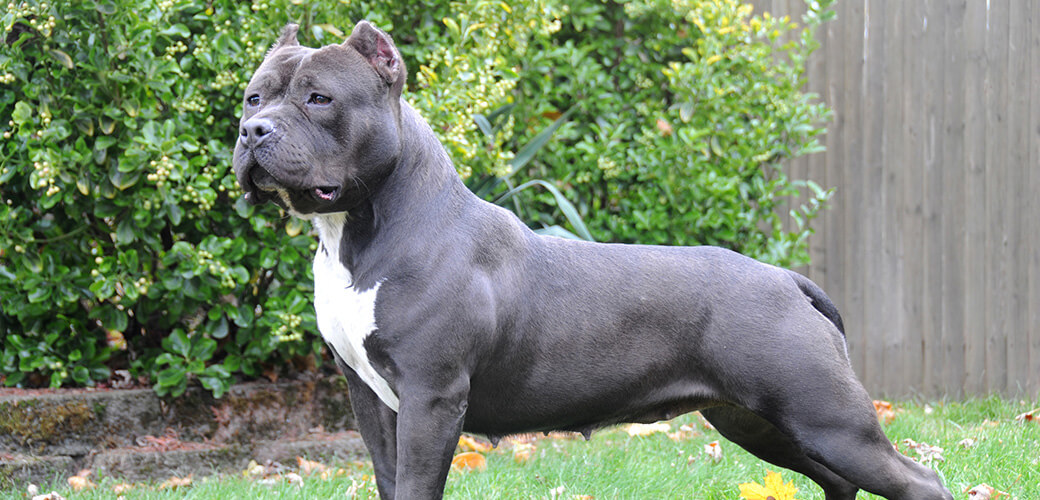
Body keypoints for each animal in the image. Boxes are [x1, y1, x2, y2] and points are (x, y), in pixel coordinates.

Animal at [231, 20, 952, 498]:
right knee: (839, 480)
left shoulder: (431, 399)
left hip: (826, 419)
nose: (251, 131)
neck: (361, 232)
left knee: (917, 482)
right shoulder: (370, 398)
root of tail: (787, 279)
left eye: (319, 98)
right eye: (253, 96)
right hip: (759, 420)